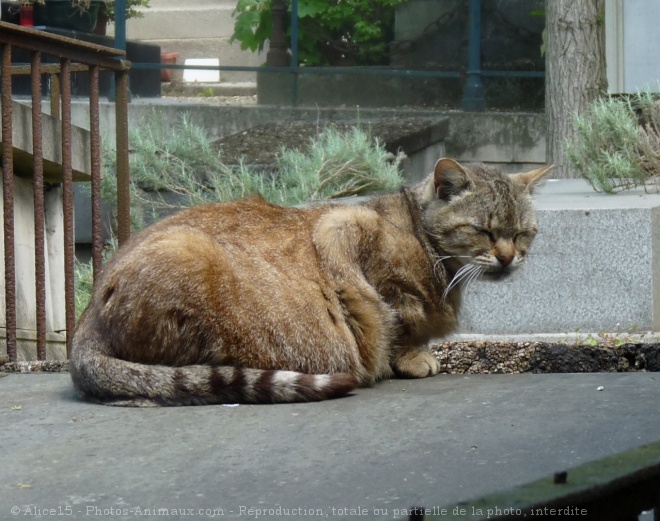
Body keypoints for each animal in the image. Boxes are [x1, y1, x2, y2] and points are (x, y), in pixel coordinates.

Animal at [69, 158, 552, 406]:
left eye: (522, 233)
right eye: (484, 231)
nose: (508, 257)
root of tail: (84, 326)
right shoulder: (345, 235)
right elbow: (393, 322)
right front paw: (412, 357)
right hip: (188, 255)